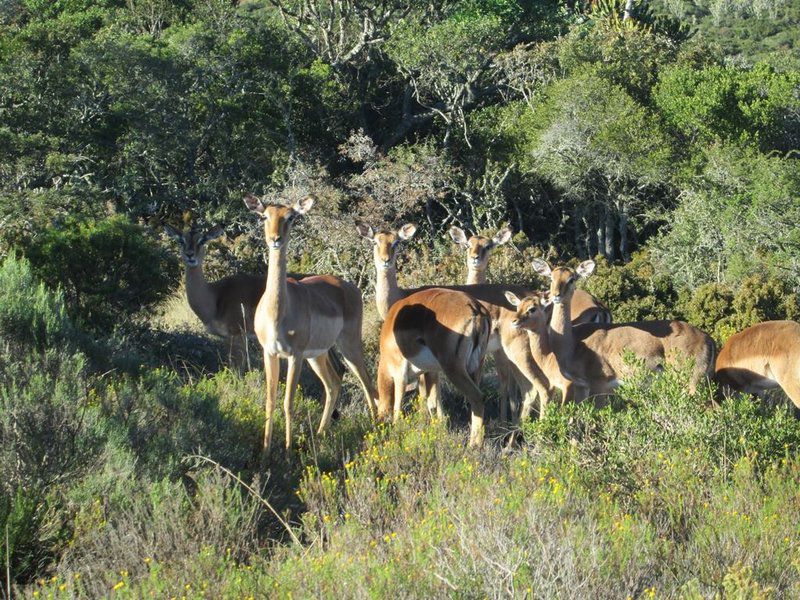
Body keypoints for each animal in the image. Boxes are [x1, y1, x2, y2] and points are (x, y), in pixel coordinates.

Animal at [244, 195, 378, 452]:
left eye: (290, 217)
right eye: (264, 216)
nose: (275, 239)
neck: (278, 313)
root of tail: (351, 287)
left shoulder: (294, 355)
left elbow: (288, 402)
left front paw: (287, 450)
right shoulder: (270, 353)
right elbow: (270, 401)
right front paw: (266, 451)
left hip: (348, 347)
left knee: (367, 382)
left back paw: (379, 427)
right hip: (318, 355)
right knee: (334, 382)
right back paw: (320, 433)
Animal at [376, 288, 494, 448]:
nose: (379, 426)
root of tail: (476, 308)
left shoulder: (400, 374)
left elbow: (398, 404)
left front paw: (396, 430)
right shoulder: (431, 372)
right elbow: (433, 400)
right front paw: (440, 429)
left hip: (454, 369)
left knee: (477, 397)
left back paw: (473, 445)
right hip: (476, 367)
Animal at [536, 258, 716, 404]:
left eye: (572, 278)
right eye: (551, 277)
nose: (556, 295)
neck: (572, 343)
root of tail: (709, 339)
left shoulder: (599, 385)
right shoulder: (582, 386)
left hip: (691, 382)